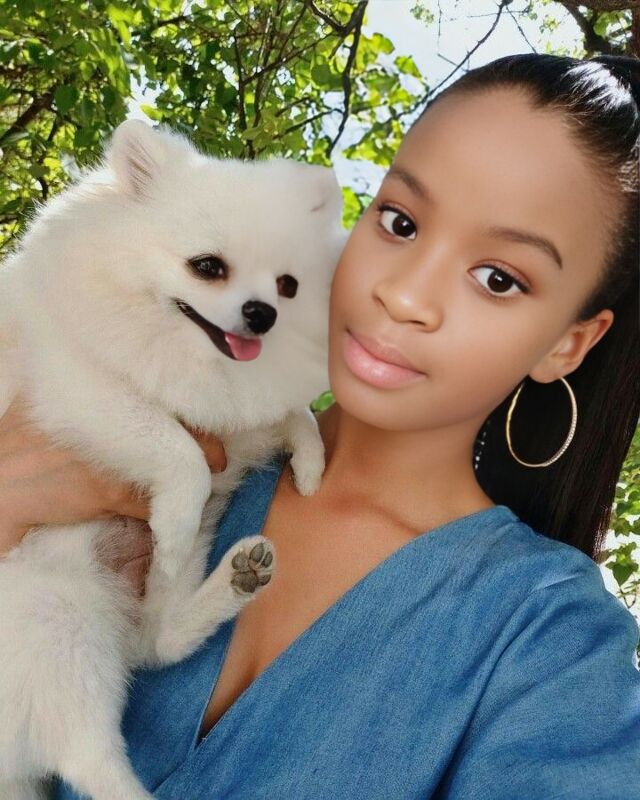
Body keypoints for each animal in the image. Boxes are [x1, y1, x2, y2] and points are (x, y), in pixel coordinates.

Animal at [0, 119, 346, 800]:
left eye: (288, 286)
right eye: (207, 267)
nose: (262, 313)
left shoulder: (241, 417)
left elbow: (292, 416)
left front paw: (312, 465)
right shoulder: (79, 388)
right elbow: (176, 448)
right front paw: (176, 522)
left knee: (156, 643)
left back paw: (238, 578)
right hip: (54, 618)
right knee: (88, 757)